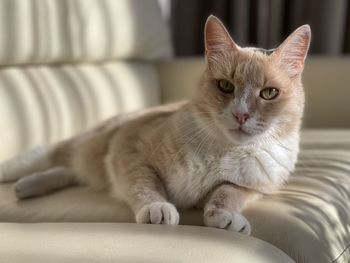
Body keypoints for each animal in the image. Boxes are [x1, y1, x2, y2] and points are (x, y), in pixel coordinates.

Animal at [0, 15, 310, 236]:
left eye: (269, 93)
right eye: (225, 86)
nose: (241, 115)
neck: (225, 150)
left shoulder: (256, 187)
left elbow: (228, 191)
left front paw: (225, 217)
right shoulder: (130, 151)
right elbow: (144, 184)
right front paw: (157, 208)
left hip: (87, 164)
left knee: (71, 172)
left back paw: (27, 187)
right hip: (84, 145)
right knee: (45, 155)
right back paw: (19, 178)